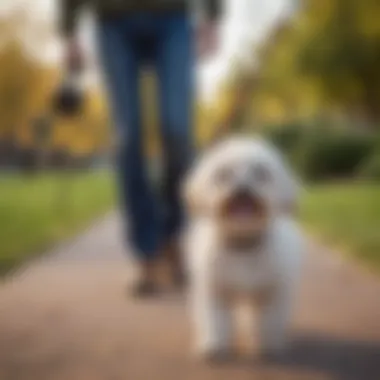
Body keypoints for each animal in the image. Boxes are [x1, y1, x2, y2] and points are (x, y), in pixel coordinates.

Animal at [183, 135, 304, 360]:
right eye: (224, 174)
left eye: (260, 173)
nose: (242, 188)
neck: (242, 245)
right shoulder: (216, 290)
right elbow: (216, 320)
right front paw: (214, 345)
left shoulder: (271, 292)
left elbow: (268, 320)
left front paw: (267, 345)